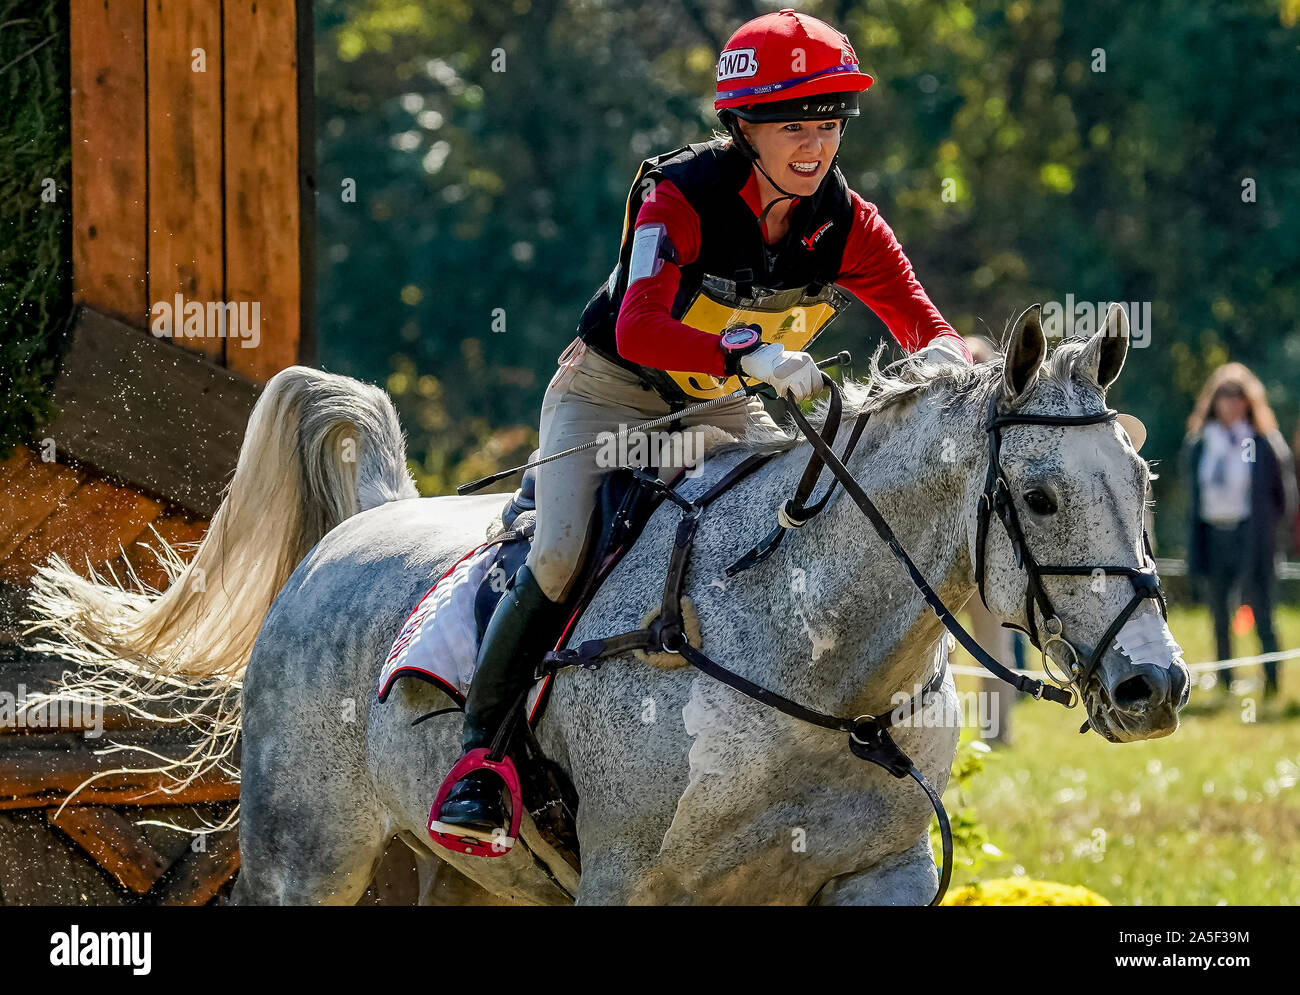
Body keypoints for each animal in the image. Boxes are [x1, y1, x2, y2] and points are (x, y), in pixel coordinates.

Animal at [30, 300, 1190, 900]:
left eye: (1142, 481)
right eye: (1038, 495)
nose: (1155, 685)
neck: (815, 669)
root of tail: (353, 532)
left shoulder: (880, 871)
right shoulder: (630, 883)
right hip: (304, 856)